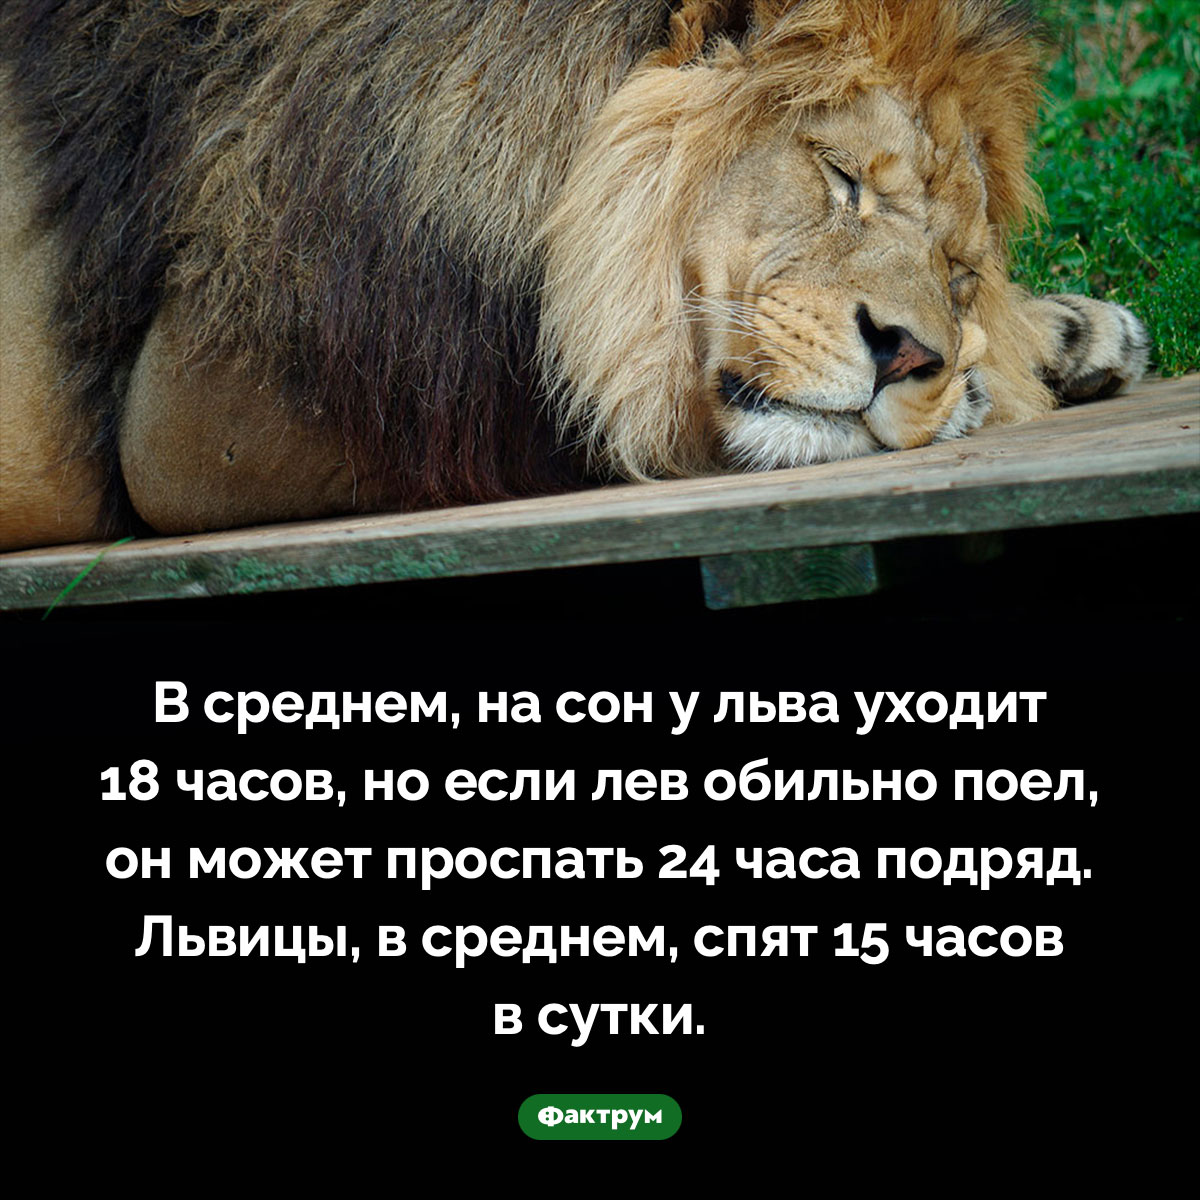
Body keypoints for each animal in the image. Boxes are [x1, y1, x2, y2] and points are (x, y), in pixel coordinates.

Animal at [0, 0, 1149, 551]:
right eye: (838, 177)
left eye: (954, 271)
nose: (909, 354)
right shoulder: (196, 419)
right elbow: (601, 397)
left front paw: (1060, 338)